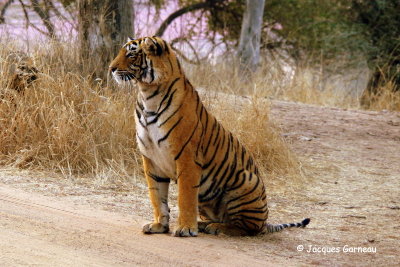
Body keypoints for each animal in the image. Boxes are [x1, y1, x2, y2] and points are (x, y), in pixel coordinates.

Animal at [110, 36, 312, 239]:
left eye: (131, 54)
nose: (111, 68)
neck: (147, 94)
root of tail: (266, 222)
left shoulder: (187, 158)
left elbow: (185, 198)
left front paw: (185, 228)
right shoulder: (151, 159)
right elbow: (156, 196)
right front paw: (159, 225)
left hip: (246, 182)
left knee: (247, 228)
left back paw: (216, 228)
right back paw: (204, 224)